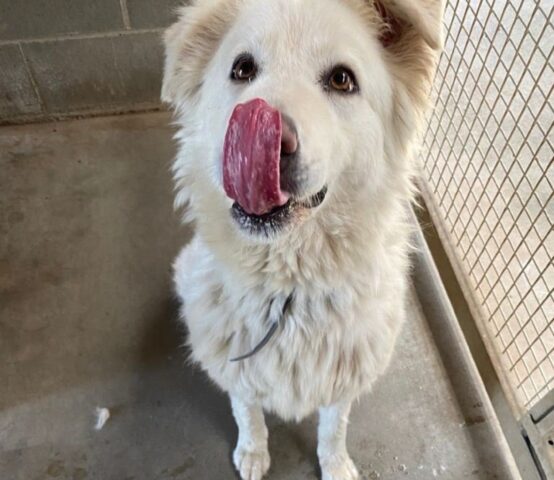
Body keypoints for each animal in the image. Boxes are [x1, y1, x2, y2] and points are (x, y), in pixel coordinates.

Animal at [162, 1, 442, 478]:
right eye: (242, 69)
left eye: (342, 79)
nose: (266, 143)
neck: (289, 291)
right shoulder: (237, 373)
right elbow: (248, 413)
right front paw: (252, 453)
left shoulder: (342, 382)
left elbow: (333, 429)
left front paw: (335, 465)